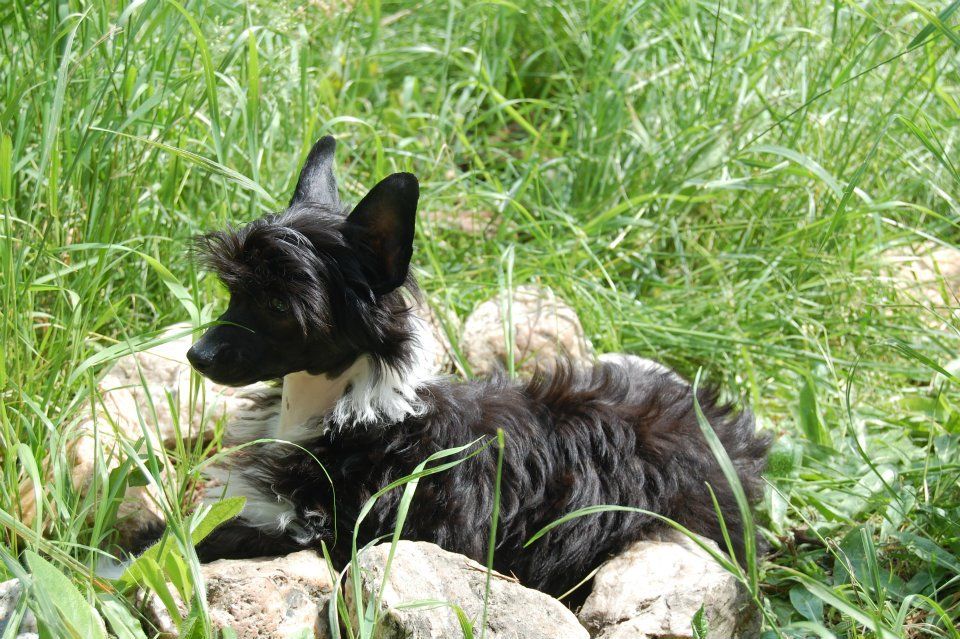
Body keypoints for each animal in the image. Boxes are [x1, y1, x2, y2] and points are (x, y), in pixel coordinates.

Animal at [144, 135, 770, 598]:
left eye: (278, 305)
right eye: (234, 291)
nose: (196, 356)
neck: (344, 411)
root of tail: (730, 439)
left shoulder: (309, 528)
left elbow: (183, 542)